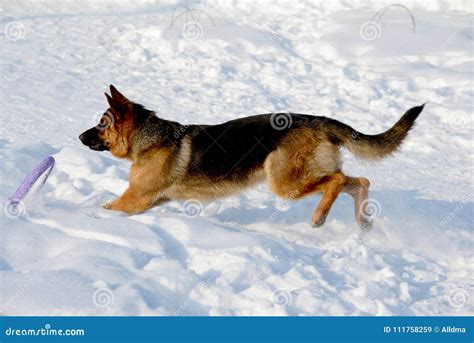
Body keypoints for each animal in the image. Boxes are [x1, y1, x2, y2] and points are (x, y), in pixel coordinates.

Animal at [79, 85, 424, 231]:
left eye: (101, 124)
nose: (80, 137)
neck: (150, 139)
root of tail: (317, 120)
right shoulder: (148, 201)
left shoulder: (134, 200)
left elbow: (105, 207)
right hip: (305, 174)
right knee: (359, 181)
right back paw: (362, 221)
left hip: (284, 181)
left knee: (338, 181)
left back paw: (319, 217)